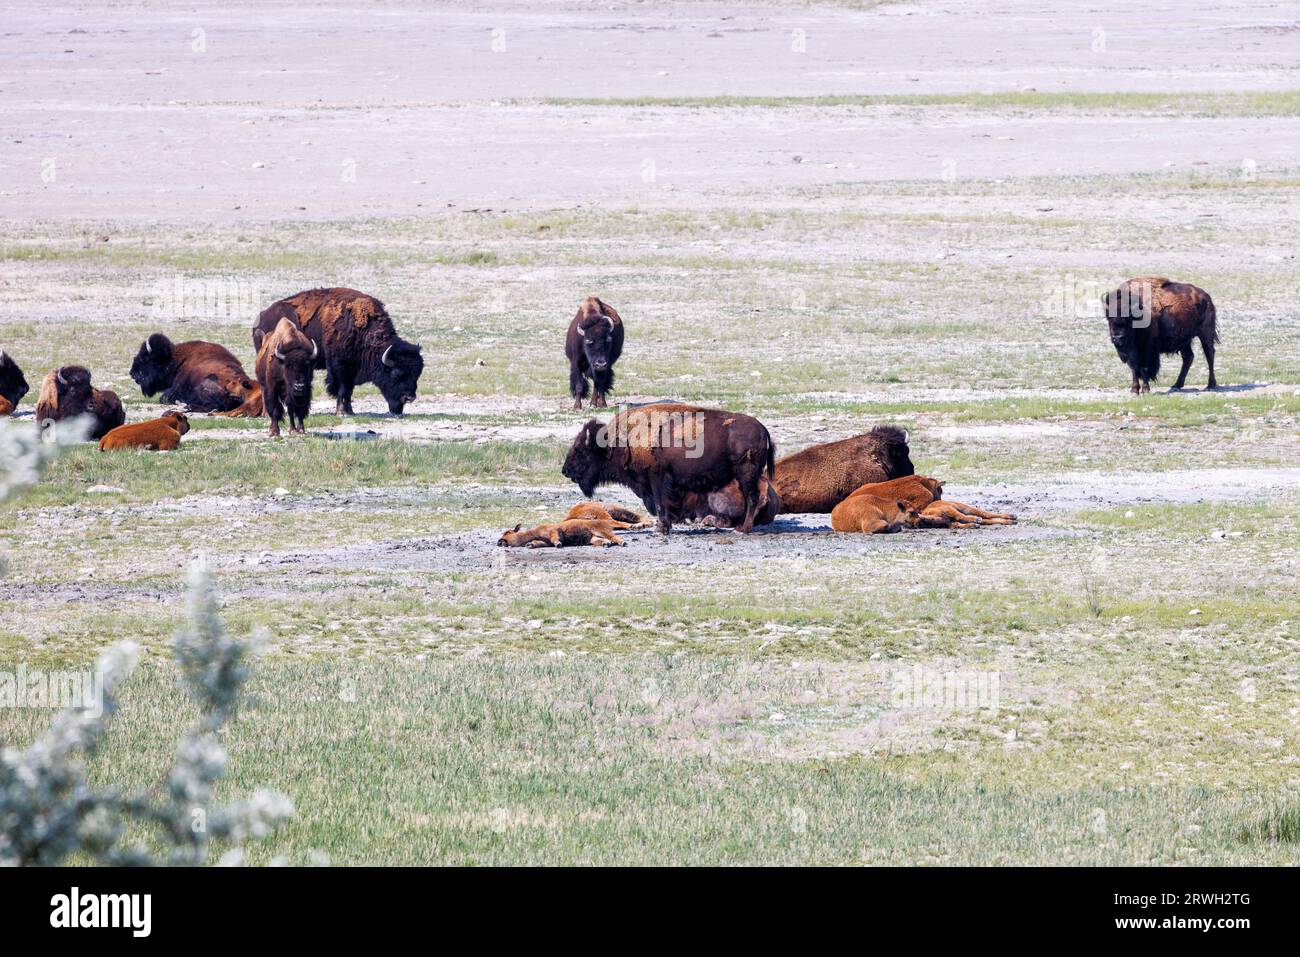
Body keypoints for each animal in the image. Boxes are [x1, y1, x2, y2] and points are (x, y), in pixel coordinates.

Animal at [129, 333, 262, 416]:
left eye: (144, 358)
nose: (132, 373)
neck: (175, 359)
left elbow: (164, 397)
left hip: (206, 383)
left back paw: (186, 406)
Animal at [253, 288, 423, 416]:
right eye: (397, 373)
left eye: (417, 374)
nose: (410, 397)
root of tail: (261, 317)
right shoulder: (339, 367)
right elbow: (341, 388)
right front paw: (342, 412)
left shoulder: (352, 370)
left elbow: (349, 390)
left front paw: (350, 411)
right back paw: (267, 413)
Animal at [562, 403, 775, 534]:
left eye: (580, 450)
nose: (565, 470)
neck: (618, 443)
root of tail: (763, 428)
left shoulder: (657, 479)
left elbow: (660, 504)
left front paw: (661, 528)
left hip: (746, 474)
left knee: (752, 498)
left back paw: (743, 529)